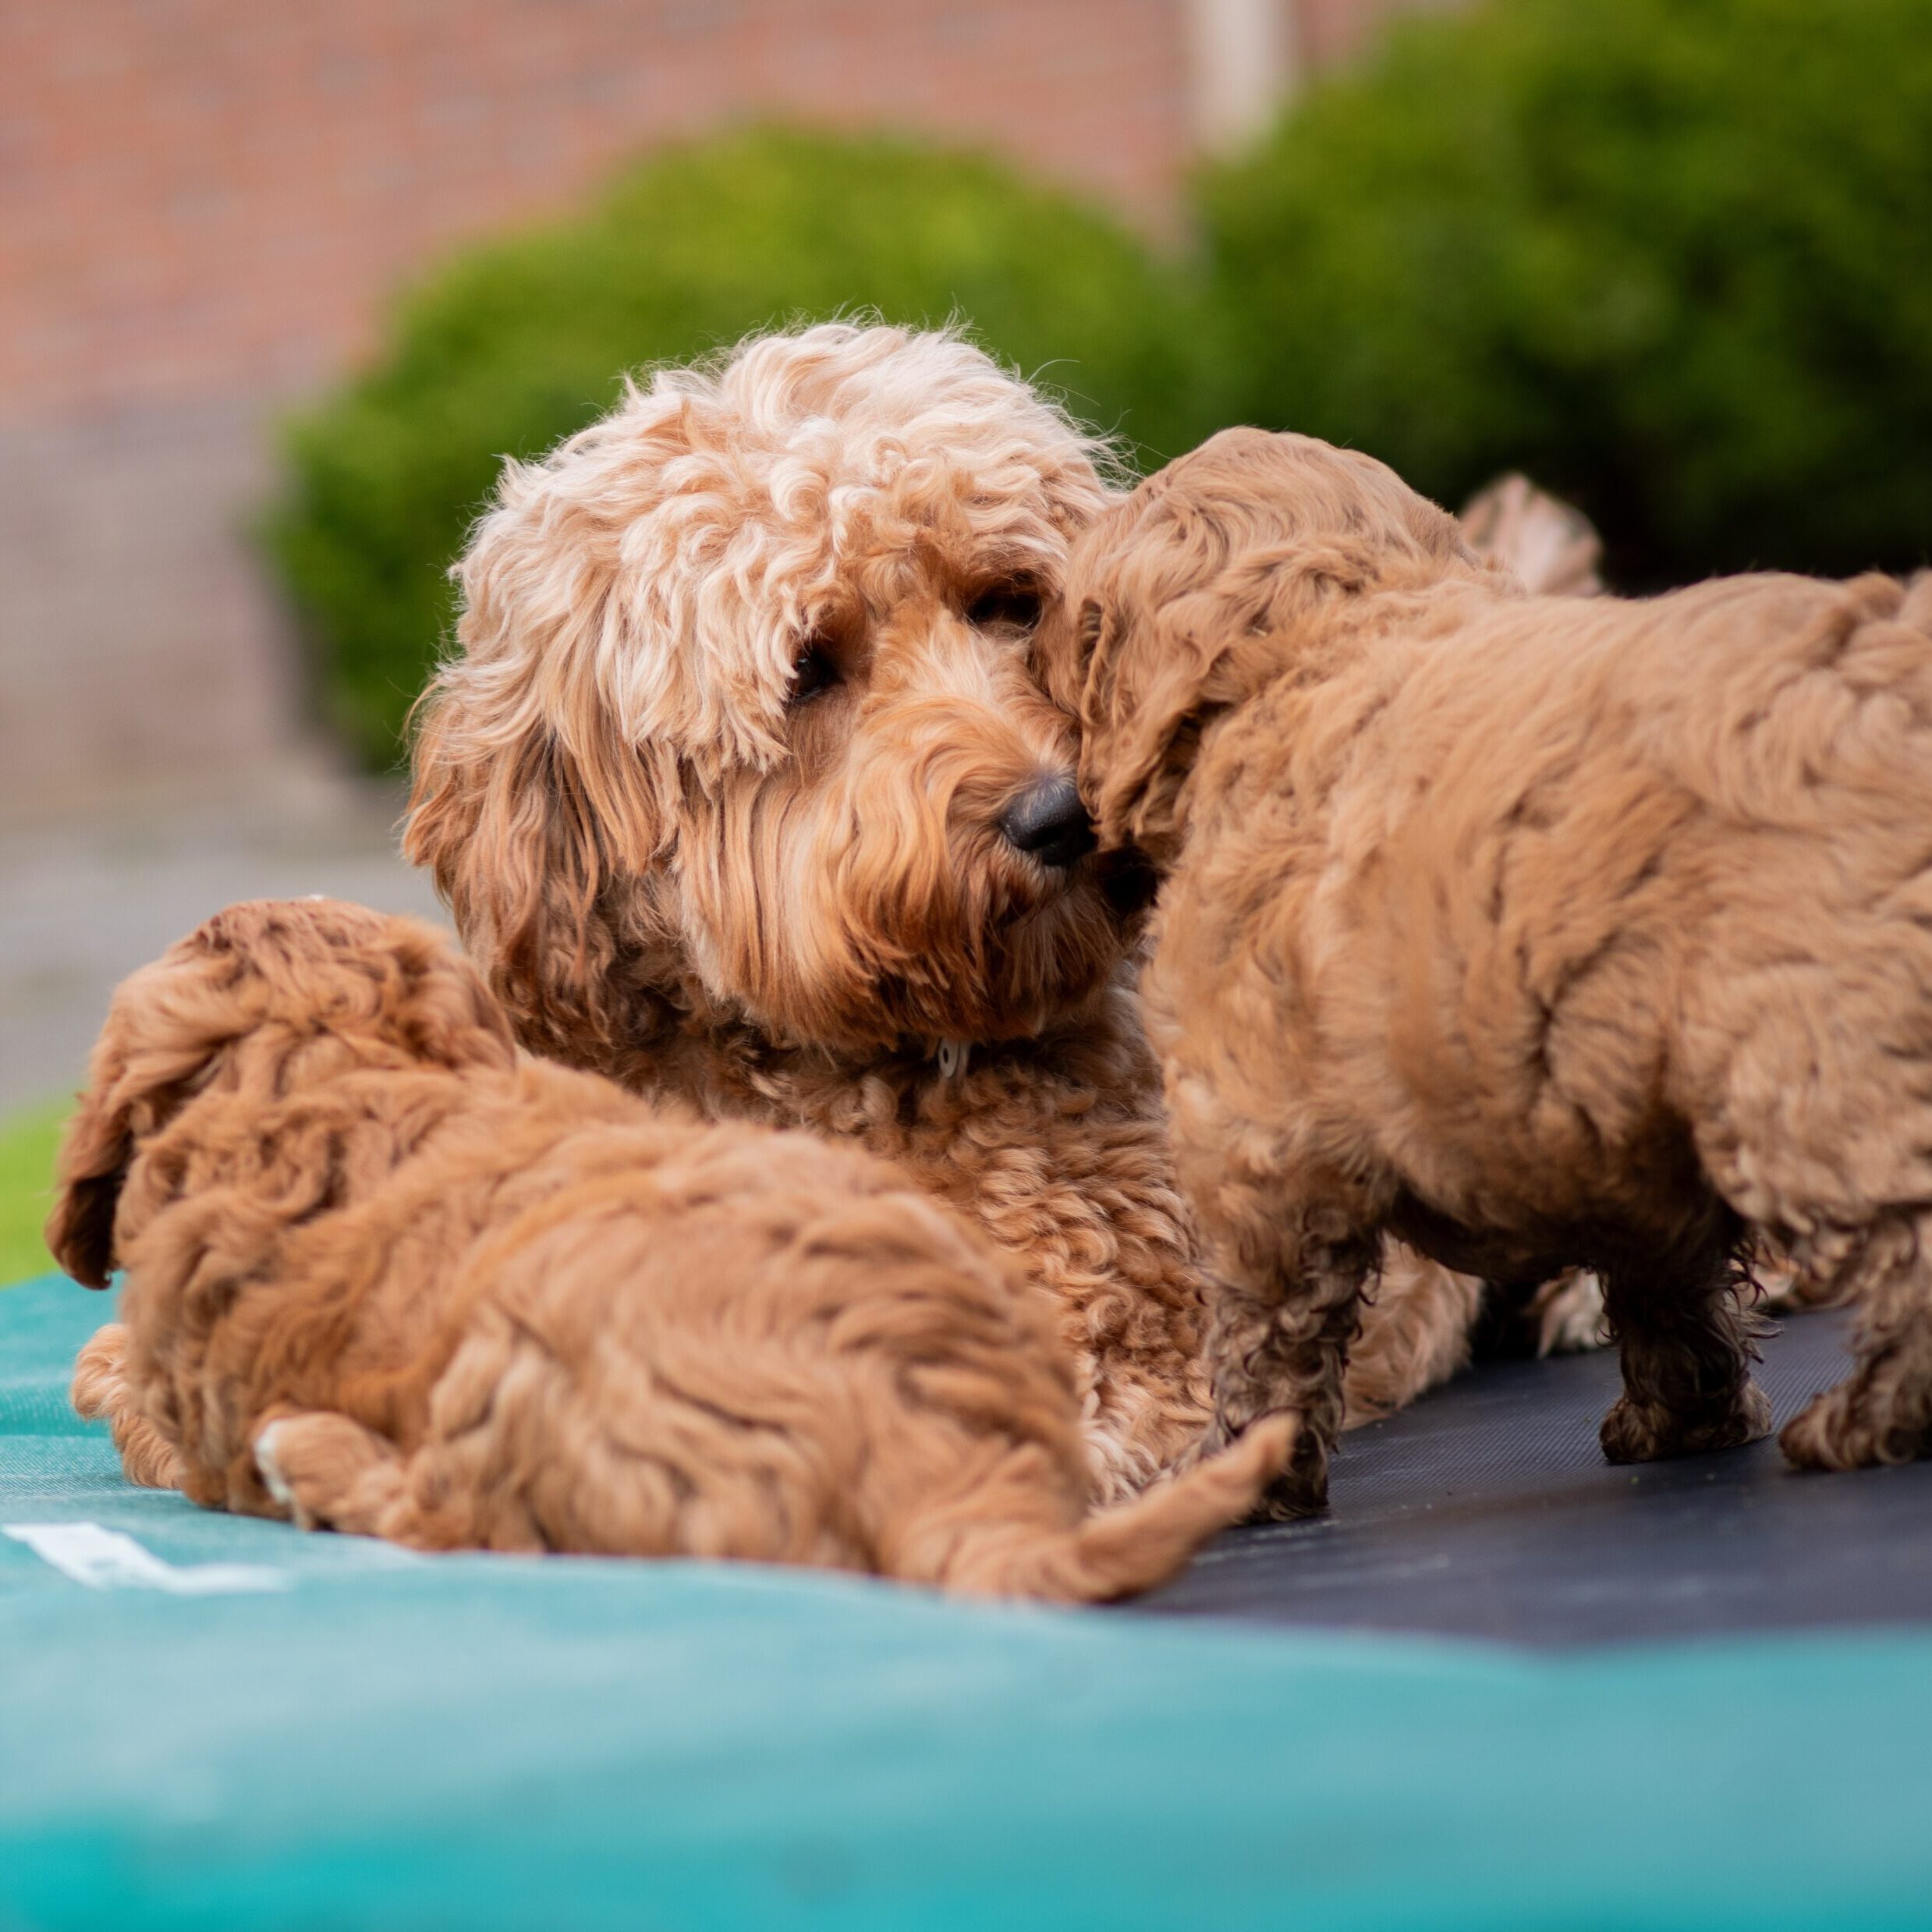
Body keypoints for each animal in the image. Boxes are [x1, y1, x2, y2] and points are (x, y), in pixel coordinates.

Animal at [1051, 431, 1932, 1514]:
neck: (1318, 645)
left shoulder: (1253, 1136)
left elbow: (1264, 1325)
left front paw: (1247, 1472)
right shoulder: (1618, 1123)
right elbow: (1666, 1280)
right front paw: (1685, 1417)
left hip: (1806, 1048)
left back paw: (1869, 1415)